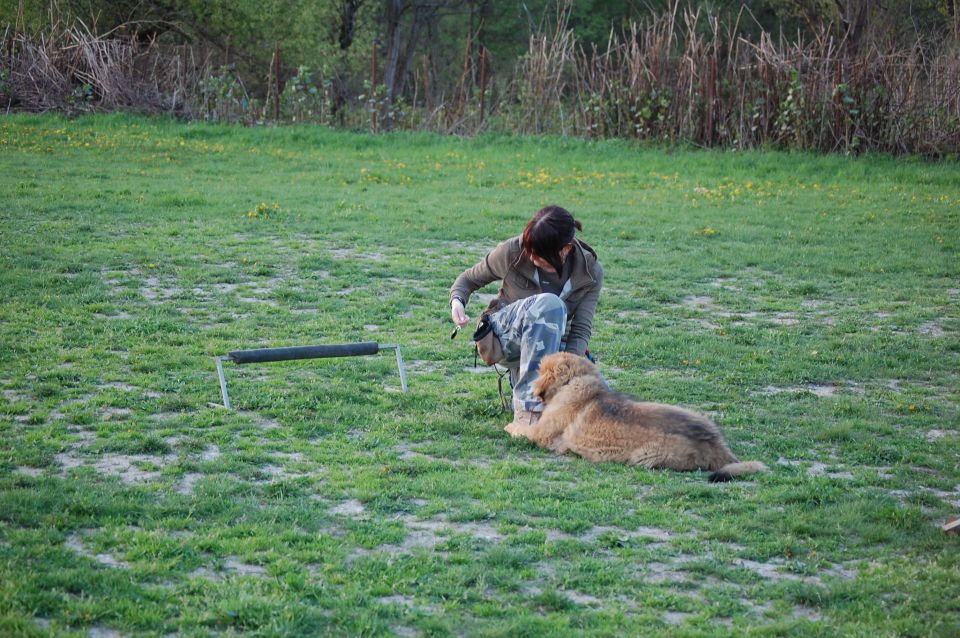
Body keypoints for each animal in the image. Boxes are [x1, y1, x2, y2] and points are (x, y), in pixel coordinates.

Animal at [502, 352, 764, 482]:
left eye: (541, 372)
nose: (532, 388)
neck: (577, 381)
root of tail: (715, 444)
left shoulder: (542, 434)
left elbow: (521, 430)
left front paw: (509, 427)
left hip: (645, 457)